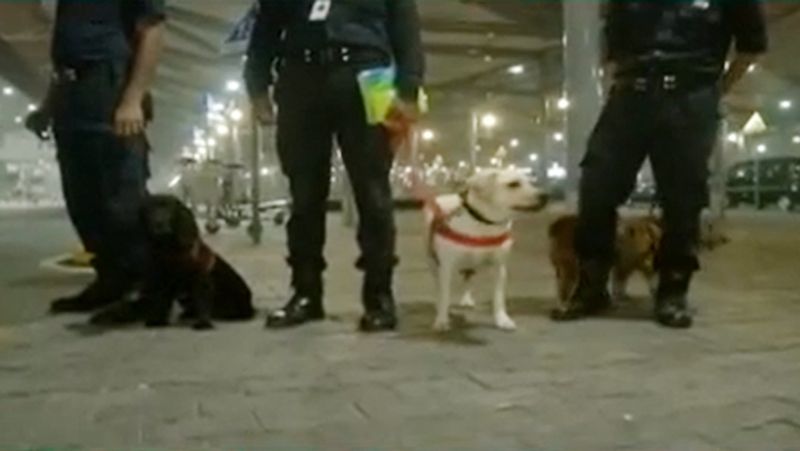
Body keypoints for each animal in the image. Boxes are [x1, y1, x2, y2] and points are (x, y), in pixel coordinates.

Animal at [93, 195, 256, 332]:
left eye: (168, 209)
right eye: (150, 210)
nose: (158, 223)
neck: (171, 250)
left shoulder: (201, 279)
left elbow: (202, 301)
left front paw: (203, 323)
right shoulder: (161, 279)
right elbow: (160, 300)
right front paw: (157, 320)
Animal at [424, 170, 544, 332]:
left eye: (532, 182)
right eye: (513, 184)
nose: (546, 196)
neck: (483, 224)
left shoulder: (499, 267)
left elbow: (498, 297)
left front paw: (502, 320)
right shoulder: (446, 267)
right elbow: (444, 295)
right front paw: (442, 320)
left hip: (470, 266)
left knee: (468, 278)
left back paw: (467, 299)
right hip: (432, 261)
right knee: (438, 283)